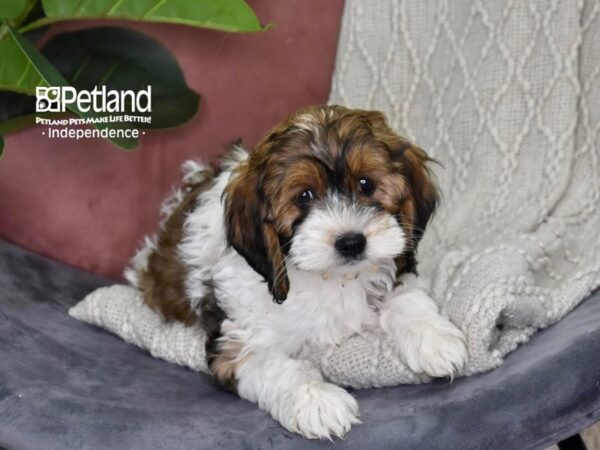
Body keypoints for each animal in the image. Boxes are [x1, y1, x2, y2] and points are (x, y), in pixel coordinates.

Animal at [124, 104, 466, 440]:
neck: (330, 279)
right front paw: (316, 400)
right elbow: (277, 366)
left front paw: (435, 337)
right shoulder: (237, 343)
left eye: (366, 185)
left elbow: (405, 295)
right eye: (304, 196)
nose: (351, 242)